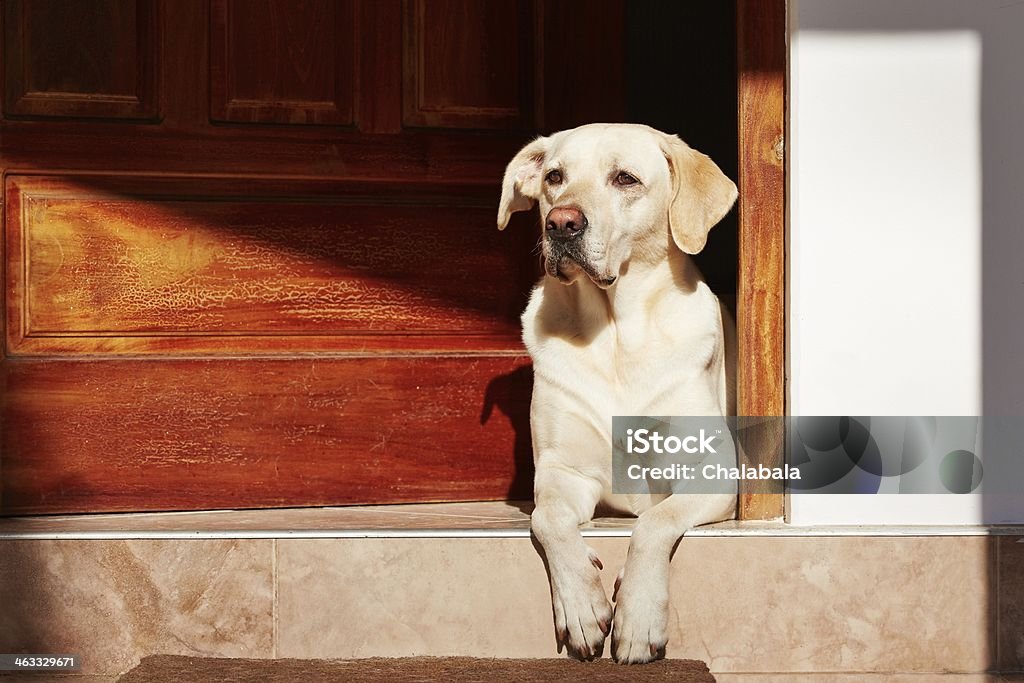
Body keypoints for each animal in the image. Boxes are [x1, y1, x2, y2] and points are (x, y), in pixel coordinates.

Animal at [495, 121, 737, 663]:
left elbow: (654, 523)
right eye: (555, 177)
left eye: (625, 178)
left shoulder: (711, 472)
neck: (615, 334)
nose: (561, 223)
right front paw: (583, 605)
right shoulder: (562, 472)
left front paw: (639, 617)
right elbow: (547, 520)